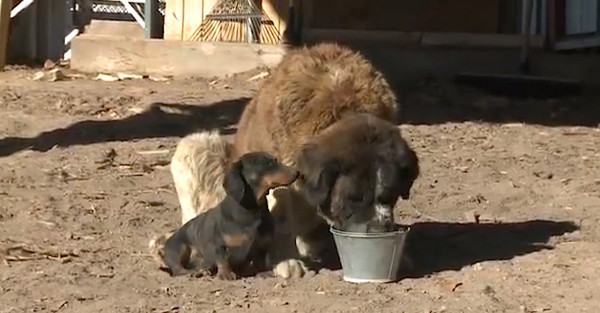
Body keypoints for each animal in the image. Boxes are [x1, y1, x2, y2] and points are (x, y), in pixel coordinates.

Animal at [162, 151, 298, 278]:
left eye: (275, 160)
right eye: (268, 164)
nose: (297, 172)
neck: (250, 210)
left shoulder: (263, 246)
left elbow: (260, 260)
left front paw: (264, 272)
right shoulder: (217, 244)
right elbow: (222, 259)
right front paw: (226, 274)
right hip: (180, 247)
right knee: (177, 268)